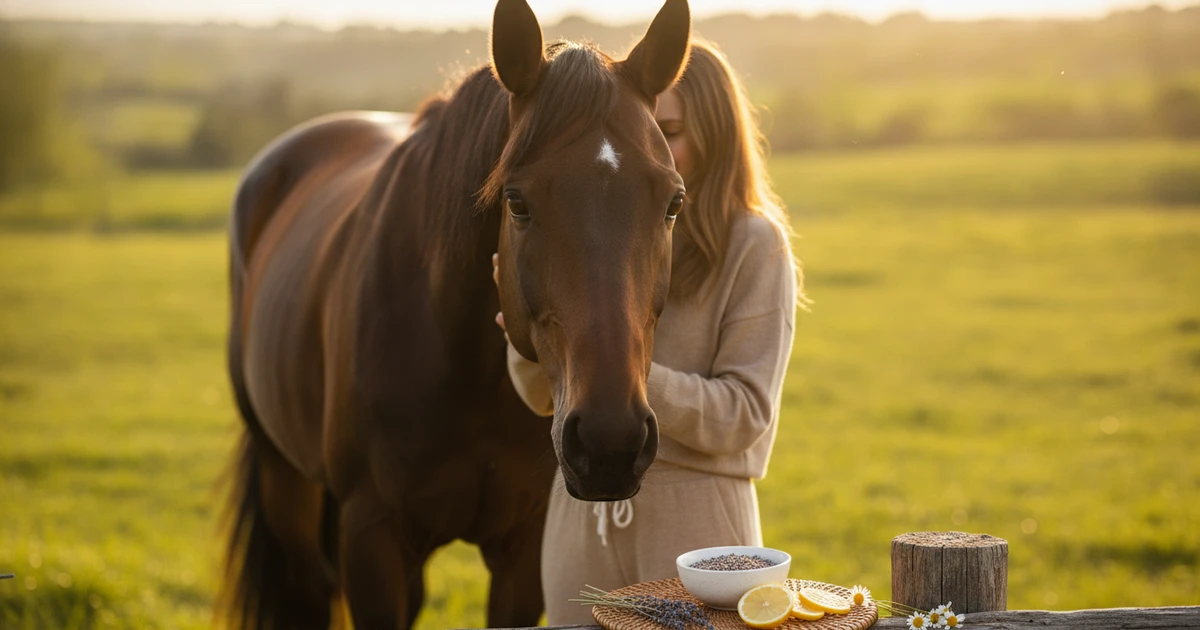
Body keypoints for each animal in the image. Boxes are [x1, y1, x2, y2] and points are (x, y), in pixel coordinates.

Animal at [221, 0, 691, 627]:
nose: (609, 441)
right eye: (516, 201)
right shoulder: (372, 539)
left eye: (674, 202)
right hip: (285, 482)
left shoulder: (521, 551)